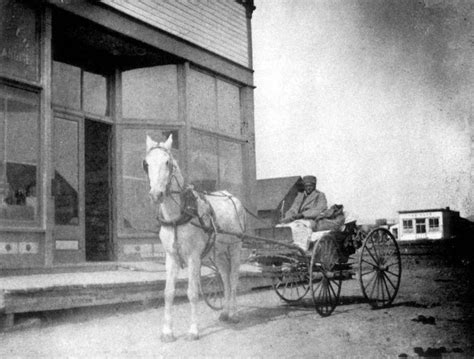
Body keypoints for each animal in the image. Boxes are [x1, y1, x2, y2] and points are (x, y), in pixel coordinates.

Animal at [143, 134, 246, 342]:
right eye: (146, 163)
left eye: (168, 162)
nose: (156, 194)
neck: (178, 215)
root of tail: (231, 196)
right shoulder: (171, 257)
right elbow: (168, 293)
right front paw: (167, 332)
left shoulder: (194, 257)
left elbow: (192, 293)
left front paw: (193, 331)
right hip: (219, 252)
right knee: (225, 278)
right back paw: (225, 312)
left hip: (236, 247)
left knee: (234, 278)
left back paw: (234, 314)